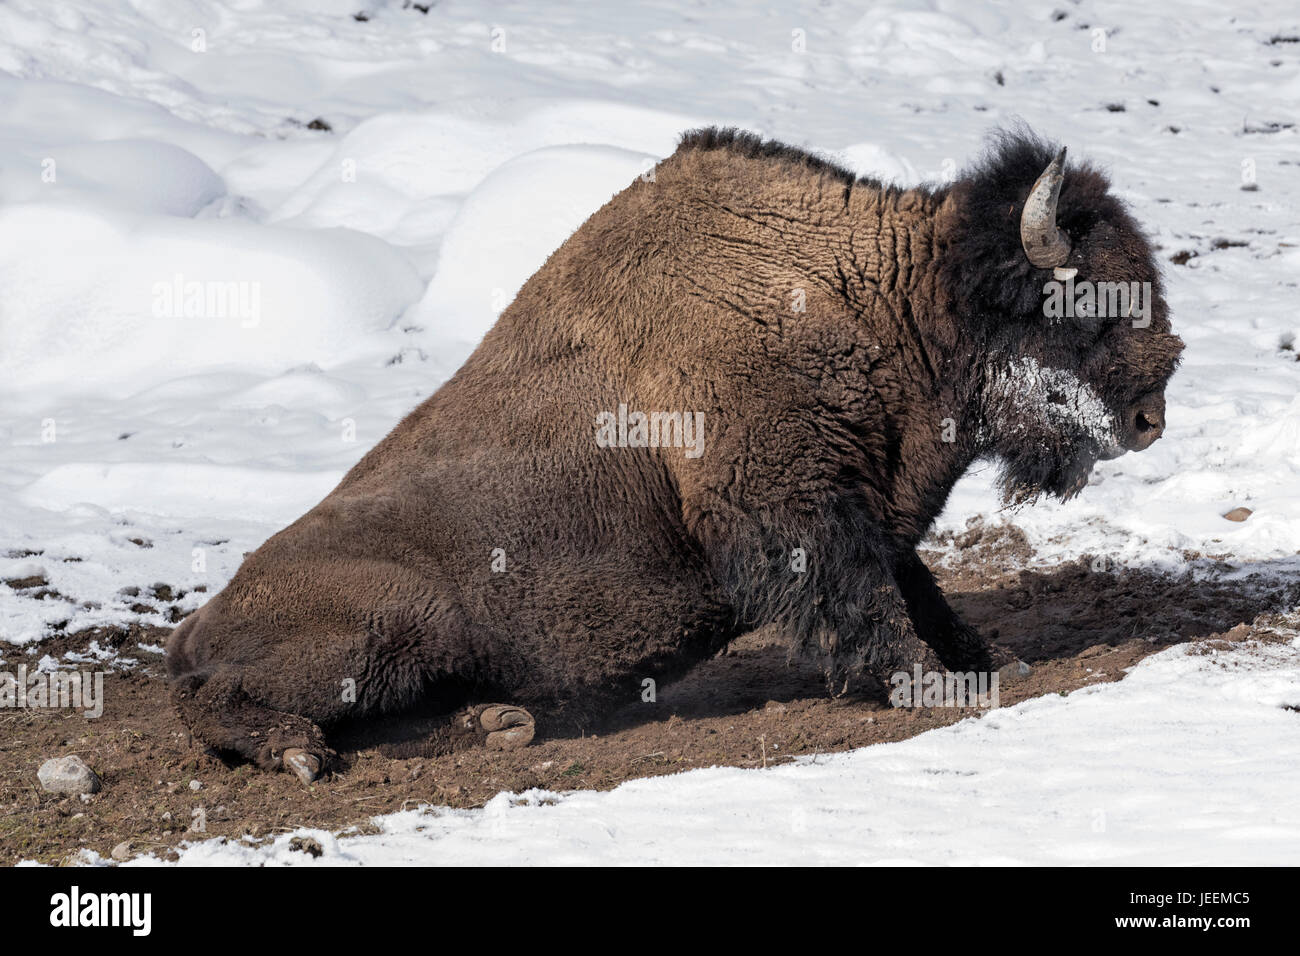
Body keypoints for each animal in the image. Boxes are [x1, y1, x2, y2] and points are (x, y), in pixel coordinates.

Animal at [167, 128, 1185, 785]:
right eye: (1085, 302)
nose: (1150, 414)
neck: (891, 301)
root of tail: (196, 625)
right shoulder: (792, 507)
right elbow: (870, 602)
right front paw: (938, 688)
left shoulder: (864, 505)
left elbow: (916, 583)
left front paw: (990, 657)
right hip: (388, 626)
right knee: (213, 702)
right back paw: (303, 752)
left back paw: (499, 723)